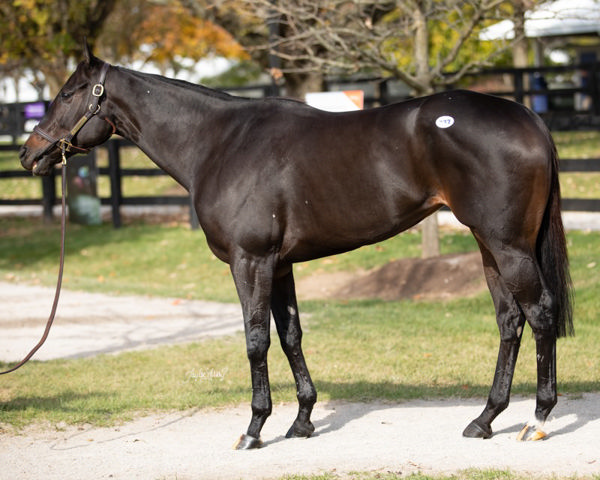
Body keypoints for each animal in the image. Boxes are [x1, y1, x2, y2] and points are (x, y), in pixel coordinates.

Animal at [17, 47, 572, 448]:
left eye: (67, 93)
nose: (28, 153)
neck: (220, 143)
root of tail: (526, 116)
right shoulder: (279, 265)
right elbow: (290, 337)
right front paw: (302, 420)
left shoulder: (250, 261)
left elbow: (255, 340)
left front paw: (254, 428)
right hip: (489, 246)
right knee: (510, 321)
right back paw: (484, 419)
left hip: (507, 246)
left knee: (540, 313)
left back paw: (539, 418)